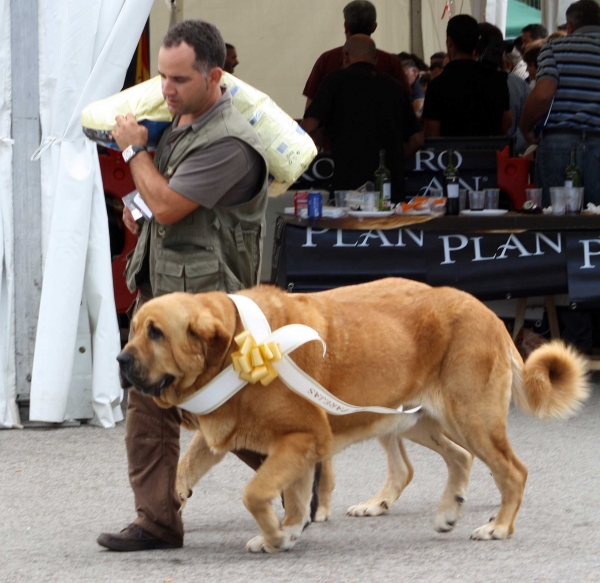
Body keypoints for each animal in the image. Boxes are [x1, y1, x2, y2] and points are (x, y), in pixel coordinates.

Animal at [118, 278, 592, 552]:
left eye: (156, 333)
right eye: (134, 328)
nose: (121, 361)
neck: (239, 343)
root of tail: (489, 312)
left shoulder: (302, 439)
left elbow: (255, 493)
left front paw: (275, 533)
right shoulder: (287, 445)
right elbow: (194, 468)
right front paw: (287, 532)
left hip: (471, 418)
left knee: (512, 470)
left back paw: (499, 527)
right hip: (416, 419)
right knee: (458, 458)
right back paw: (446, 511)